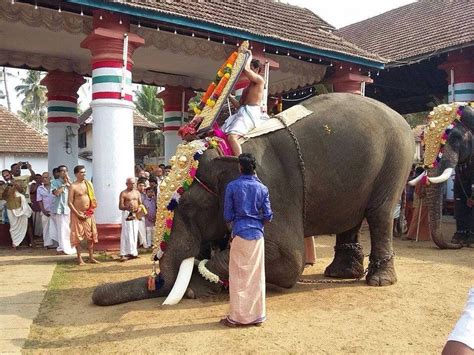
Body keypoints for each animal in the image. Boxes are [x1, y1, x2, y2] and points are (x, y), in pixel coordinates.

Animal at [92, 93, 414, 308]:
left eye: (186, 207)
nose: (96, 294)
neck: (222, 150)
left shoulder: (271, 190)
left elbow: (289, 260)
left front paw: (197, 287)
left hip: (396, 161)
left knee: (380, 215)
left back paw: (379, 280)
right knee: (350, 220)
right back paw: (340, 274)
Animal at [408, 103, 474, 249]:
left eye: (455, 139)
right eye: (423, 140)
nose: (456, 247)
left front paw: (469, 242)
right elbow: (458, 194)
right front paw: (458, 241)